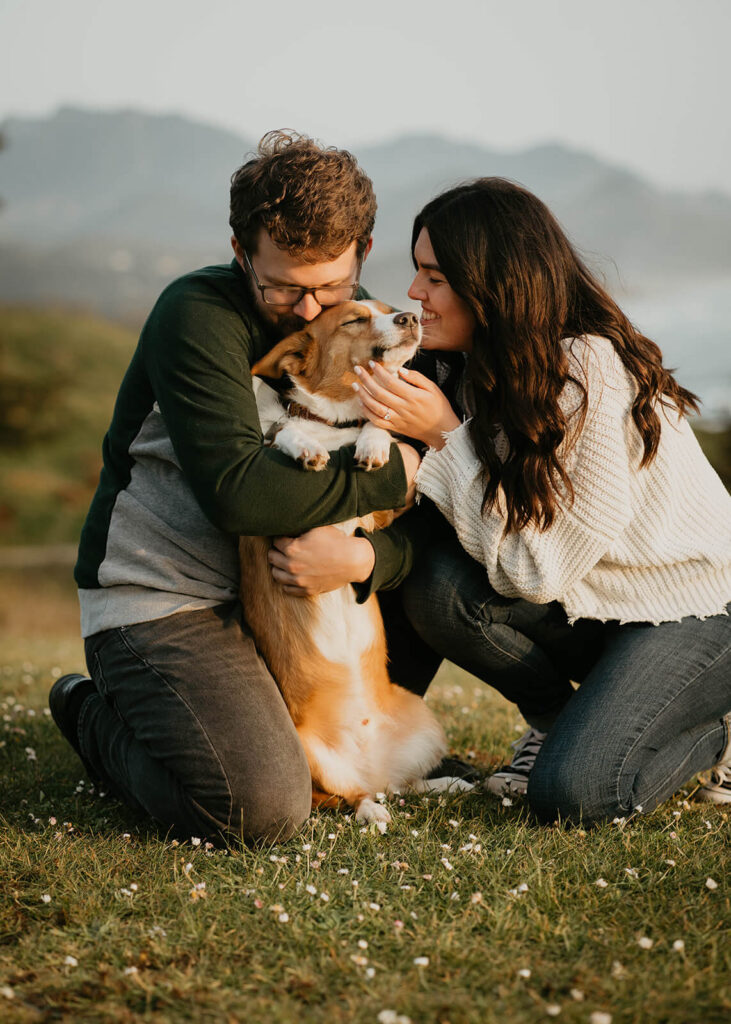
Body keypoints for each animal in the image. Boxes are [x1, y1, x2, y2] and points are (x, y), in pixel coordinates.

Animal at [239, 299, 454, 827]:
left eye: (389, 308)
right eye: (353, 319)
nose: (409, 318)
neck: (336, 426)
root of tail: (367, 766)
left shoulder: (382, 513)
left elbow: (378, 429)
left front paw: (374, 444)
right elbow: (286, 432)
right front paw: (305, 446)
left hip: (424, 722)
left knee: (400, 785)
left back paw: (446, 784)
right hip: (306, 757)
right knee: (343, 798)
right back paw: (371, 811)